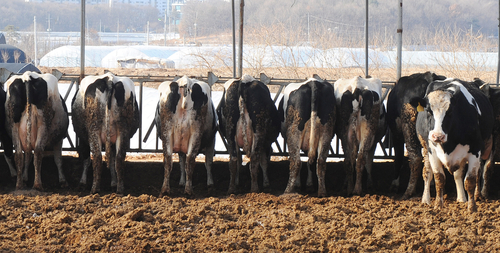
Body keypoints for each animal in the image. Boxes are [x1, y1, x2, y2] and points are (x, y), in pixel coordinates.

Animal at [384, 70, 448, 198]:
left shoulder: (396, 135)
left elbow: (398, 157)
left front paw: (395, 184)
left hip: (409, 128)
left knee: (415, 158)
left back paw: (409, 191)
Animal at [412, 77, 494, 211]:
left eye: (450, 111)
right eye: (428, 111)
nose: (437, 136)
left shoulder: (475, 150)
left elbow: (470, 180)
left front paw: (472, 208)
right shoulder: (432, 152)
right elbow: (439, 178)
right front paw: (438, 205)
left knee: (474, 173)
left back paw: (469, 197)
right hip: (425, 149)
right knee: (428, 173)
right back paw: (426, 200)